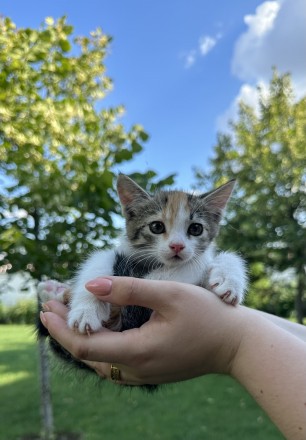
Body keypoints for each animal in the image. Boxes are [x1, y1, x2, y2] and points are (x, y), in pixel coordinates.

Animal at [37, 174, 247, 370]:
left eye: (196, 228)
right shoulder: (118, 255)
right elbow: (97, 263)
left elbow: (212, 261)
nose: (177, 246)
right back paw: (53, 290)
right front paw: (86, 311)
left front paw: (229, 282)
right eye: (156, 226)